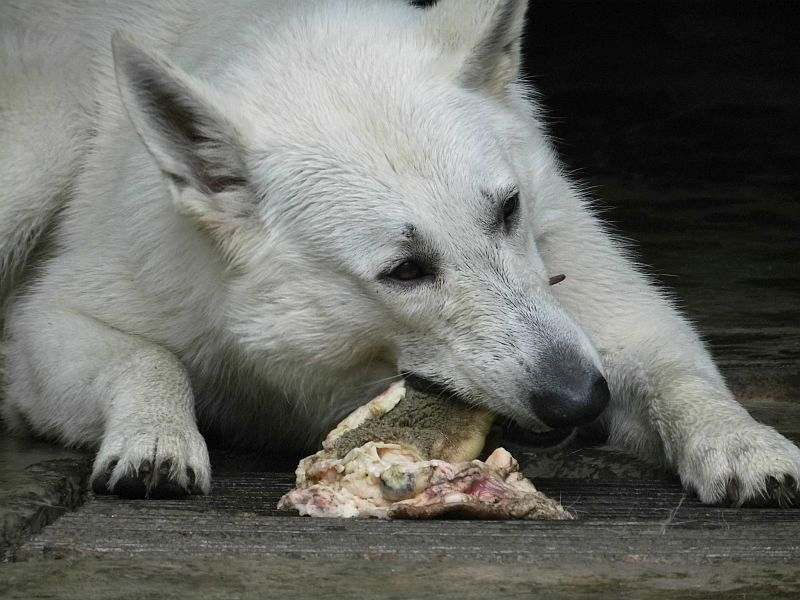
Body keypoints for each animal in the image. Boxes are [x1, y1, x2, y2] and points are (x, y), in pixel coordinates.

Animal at [1, 0, 800, 504]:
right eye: (406, 271)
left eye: (507, 211)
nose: (582, 402)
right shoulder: (52, 326)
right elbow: (147, 359)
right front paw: (156, 438)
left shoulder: (601, 306)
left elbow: (677, 373)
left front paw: (745, 446)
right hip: (36, 162)